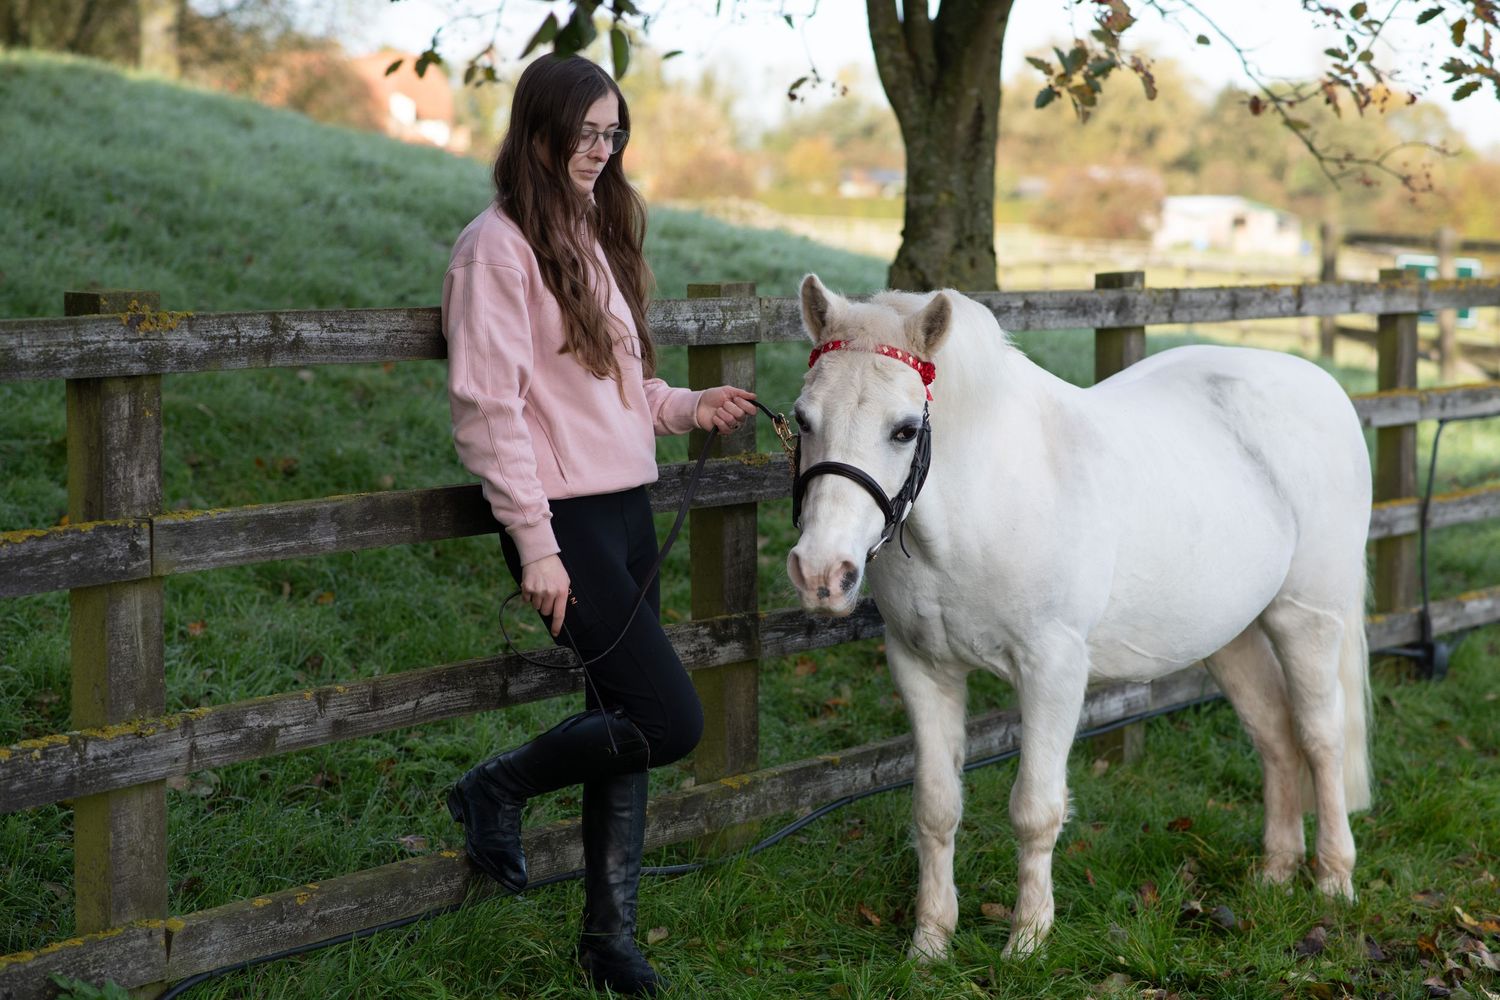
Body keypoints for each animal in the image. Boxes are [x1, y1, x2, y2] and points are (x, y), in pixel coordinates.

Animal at [784, 274, 1372, 960]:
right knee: (1274, 734)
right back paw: (1276, 873)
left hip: (1307, 616)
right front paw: (929, 944)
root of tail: (1323, 386)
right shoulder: (922, 668)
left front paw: (1026, 941)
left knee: (1320, 736)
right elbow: (935, 808)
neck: (982, 505)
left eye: (904, 430)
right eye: (803, 418)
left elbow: (1035, 808)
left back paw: (1333, 880)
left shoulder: (1053, 670)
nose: (821, 573)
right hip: (1232, 637)